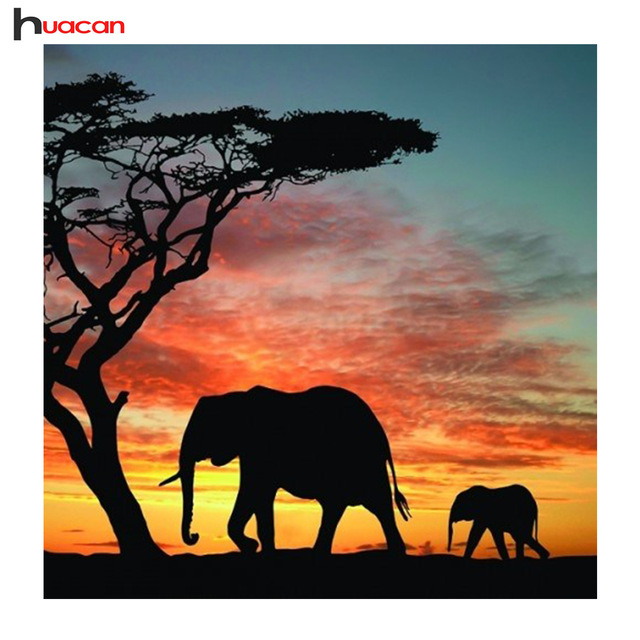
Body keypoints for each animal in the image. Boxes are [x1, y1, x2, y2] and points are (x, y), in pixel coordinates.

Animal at [160, 385, 411, 554]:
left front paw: (253, 546)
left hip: (363, 461)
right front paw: (256, 548)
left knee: (373, 505)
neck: (235, 397)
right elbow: (257, 497)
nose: (195, 535)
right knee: (348, 508)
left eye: (202, 431)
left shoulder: (259, 447)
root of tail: (381, 434)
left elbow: (254, 491)